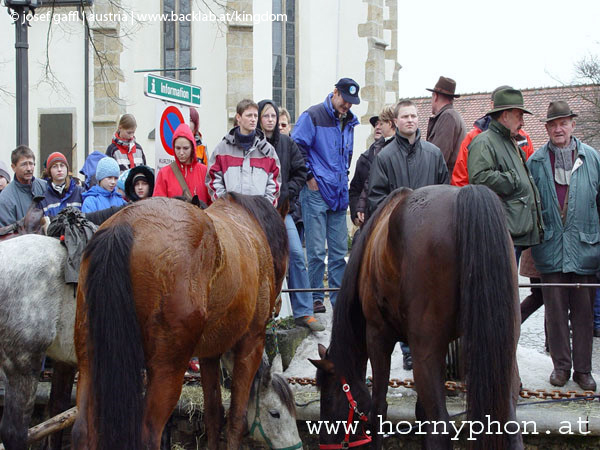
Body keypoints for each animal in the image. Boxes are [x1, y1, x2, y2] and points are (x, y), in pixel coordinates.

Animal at [0, 234, 302, 448]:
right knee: (15, 432)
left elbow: (58, 411)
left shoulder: (67, 364)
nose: (296, 446)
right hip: (23, 365)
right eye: (275, 413)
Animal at [72, 194, 288, 450]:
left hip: (89, 359)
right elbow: (237, 417)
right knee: (148, 433)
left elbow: (213, 413)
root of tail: (125, 224)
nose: (278, 307)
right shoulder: (251, 343)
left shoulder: (209, 354)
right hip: (168, 367)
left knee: (82, 429)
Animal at [312, 185, 524, 448]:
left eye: (328, 398)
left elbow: (378, 408)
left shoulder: (378, 336)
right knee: (508, 420)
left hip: (425, 349)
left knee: (440, 425)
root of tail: (466, 195)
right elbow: (421, 412)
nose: (323, 443)